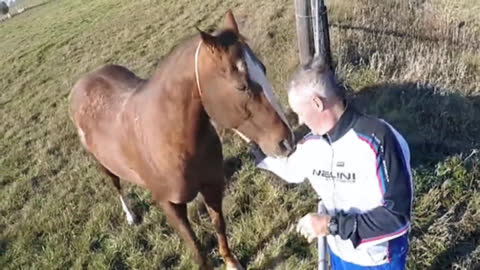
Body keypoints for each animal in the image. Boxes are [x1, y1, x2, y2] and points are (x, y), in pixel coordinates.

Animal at [67, 9, 292, 268]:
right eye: (241, 86)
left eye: (263, 68)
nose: (286, 141)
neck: (171, 137)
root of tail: (82, 82)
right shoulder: (170, 205)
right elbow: (195, 246)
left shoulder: (212, 185)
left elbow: (219, 225)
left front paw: (230, 261)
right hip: (102, 164)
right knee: (116, 185)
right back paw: (130, 215)